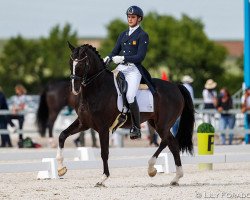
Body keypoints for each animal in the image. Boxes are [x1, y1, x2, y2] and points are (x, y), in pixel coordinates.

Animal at [56, 43, 195, 187]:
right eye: (70, 63)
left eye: (81, 64)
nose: (74, 89)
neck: (97, 88)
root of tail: (176, 86)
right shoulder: (84, 123)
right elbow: (62, 135)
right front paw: (61, 169)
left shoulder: (103, 128)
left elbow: (104, 152)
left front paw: (103, 178)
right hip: (155, 123)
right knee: (169, 142)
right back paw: (162, 173)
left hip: (163, 124)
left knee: (170, 143)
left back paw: (169, 174)